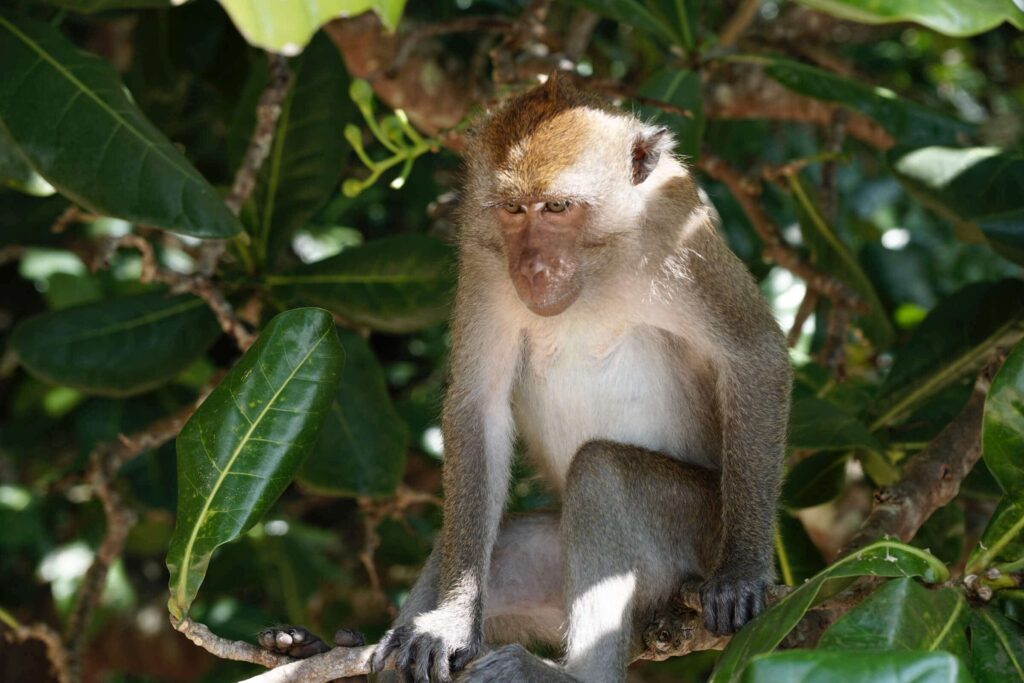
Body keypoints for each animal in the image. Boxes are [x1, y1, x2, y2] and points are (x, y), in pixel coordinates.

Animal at [260, 77, 786, 683]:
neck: (596, 267)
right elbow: (476, 408)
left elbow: (754, 354)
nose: (532, 268)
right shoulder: (483, 258)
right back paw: (329, 649)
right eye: (513, 210)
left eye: (557, 207)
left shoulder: (679, 234)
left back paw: (568, 674)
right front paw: (449, 622)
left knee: (603, 472)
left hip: (698, 527)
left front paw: (743, 570)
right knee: (502, 537)